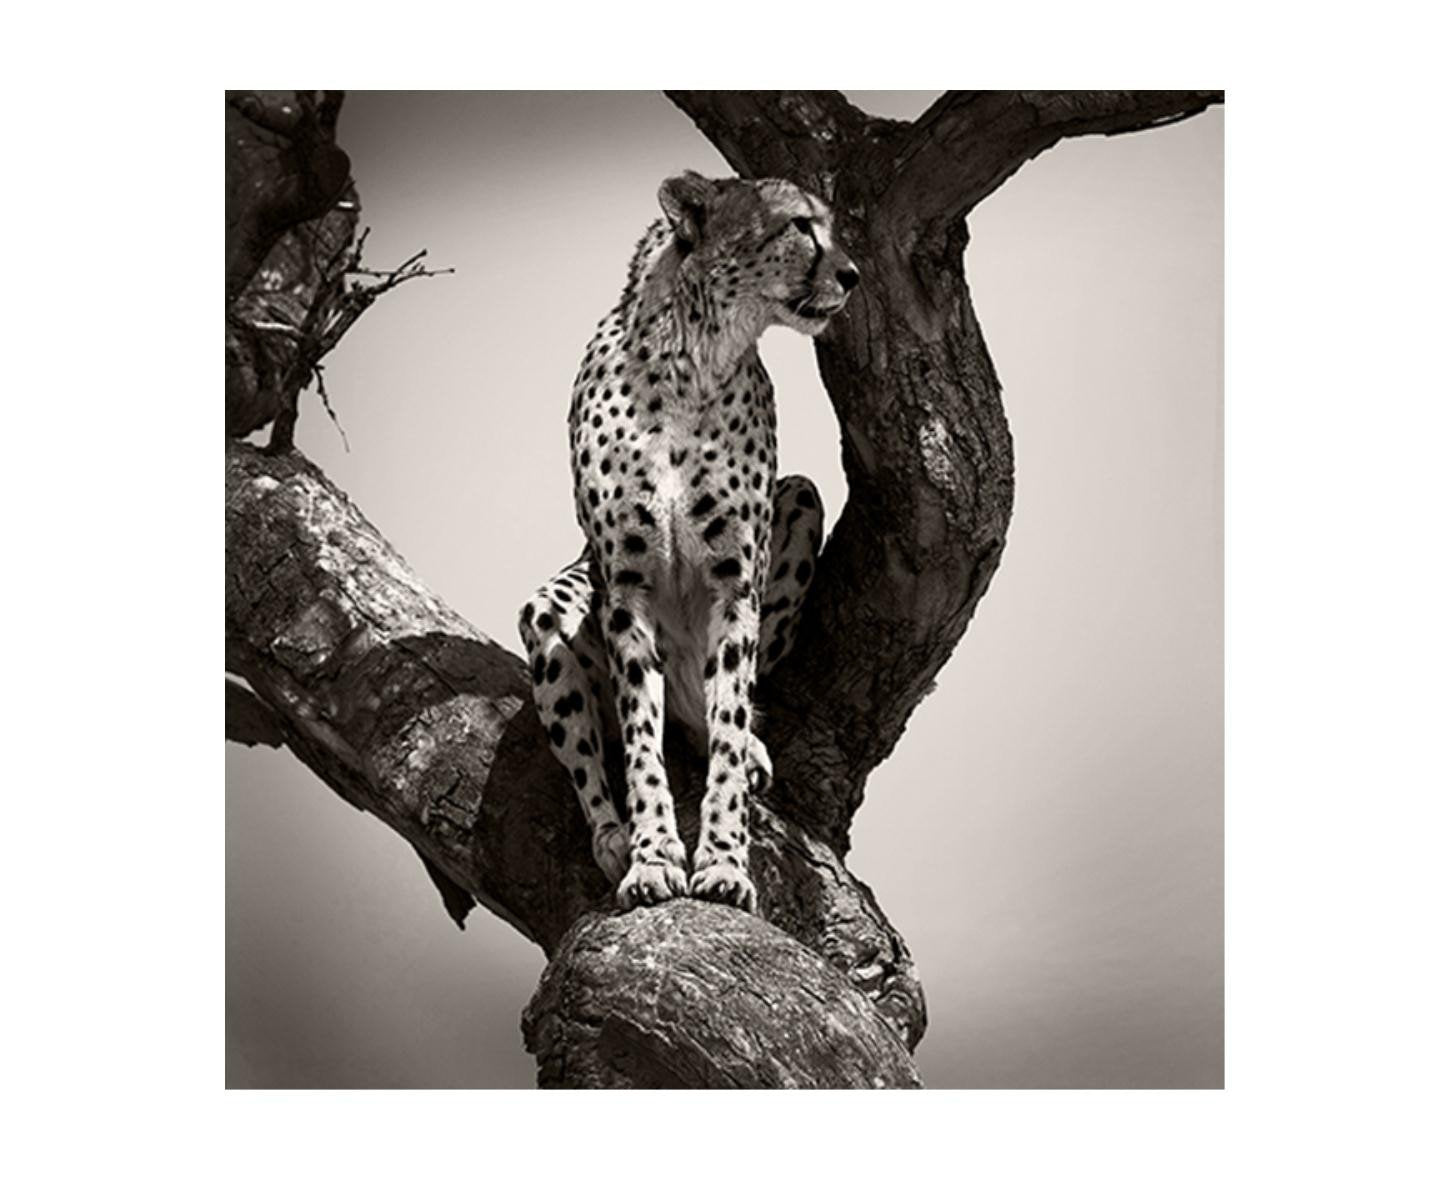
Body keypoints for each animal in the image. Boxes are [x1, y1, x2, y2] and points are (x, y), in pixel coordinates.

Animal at [517, 171, 858, 915]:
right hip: (549, 609)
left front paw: (726, 863)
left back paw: (749, 746)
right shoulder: (626, 590)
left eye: (832, 225)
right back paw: (612, 839)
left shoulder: (736, 587)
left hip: (800, 500)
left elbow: (726, 723)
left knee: (711, 715)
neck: (694, 359)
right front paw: (651, 857)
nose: (851, 274)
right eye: (800, 225)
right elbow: (641, 742)